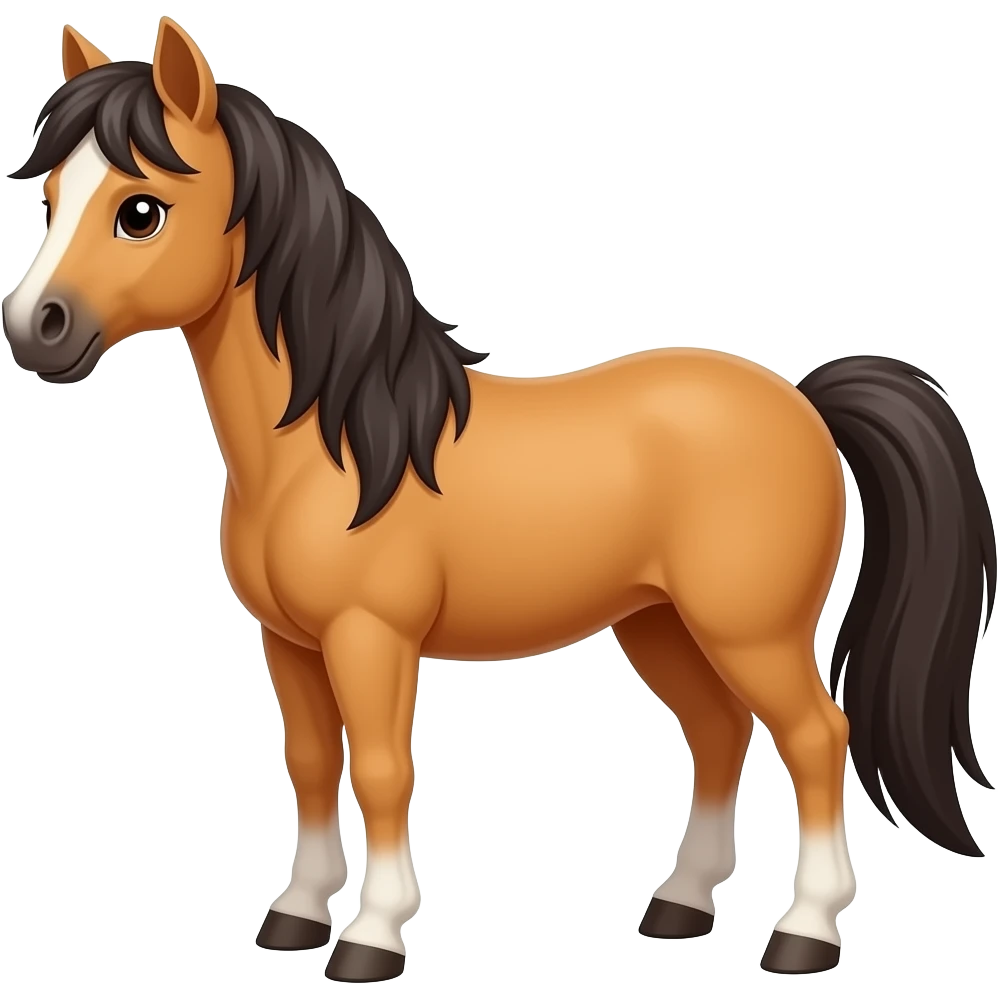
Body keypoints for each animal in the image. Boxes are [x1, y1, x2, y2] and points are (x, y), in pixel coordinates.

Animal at [2, 17, 993, 983]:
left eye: (140, 210)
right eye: (49, 197)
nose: (34, 328)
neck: (337, 447)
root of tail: (803, 401)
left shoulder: (370, 637)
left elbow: (383, 771)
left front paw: (372, 938)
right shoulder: (289, 642)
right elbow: (313, 764)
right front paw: (295, 917)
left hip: (749, 629)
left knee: (818, 737)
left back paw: (805, 934)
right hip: (660, 624)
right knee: (720, 734)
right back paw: (679, 908)